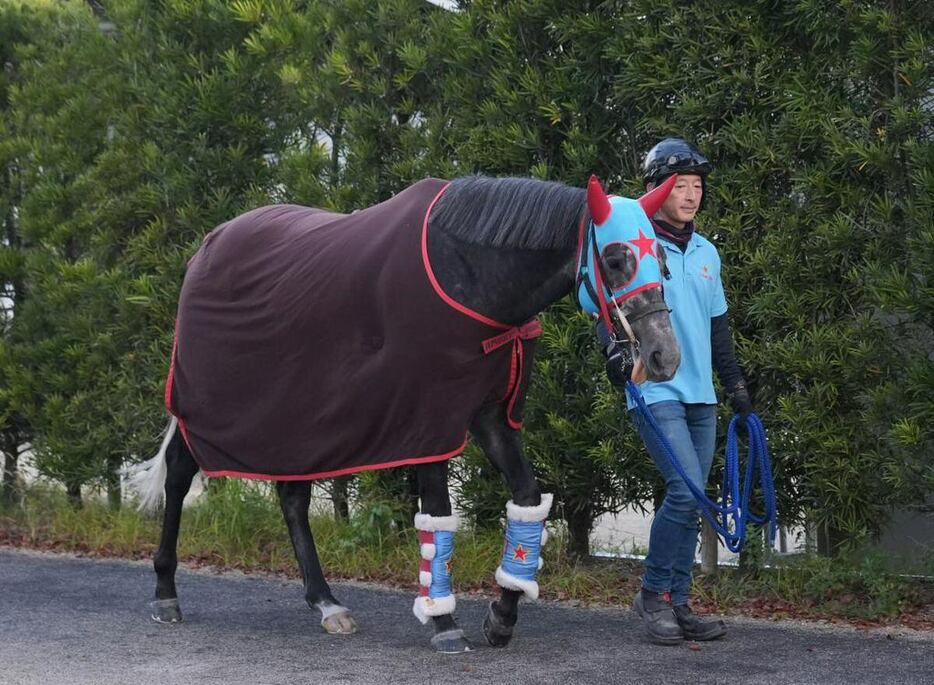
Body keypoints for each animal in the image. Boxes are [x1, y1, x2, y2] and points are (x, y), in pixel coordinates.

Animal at [130, 171, 680, 652]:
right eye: (614, 258)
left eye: (664, 260)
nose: (664, 356)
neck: (471, 277)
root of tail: (209, 245)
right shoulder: (428, 424)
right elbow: (436, 513)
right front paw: (444, 623)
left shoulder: (490, 418)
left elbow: (526, 499)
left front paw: (500, 617)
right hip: (210, 409)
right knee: (179, 473)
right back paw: (165, 594)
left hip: (299, 421)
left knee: (292, 499)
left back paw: (326, 603)